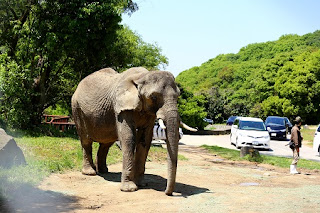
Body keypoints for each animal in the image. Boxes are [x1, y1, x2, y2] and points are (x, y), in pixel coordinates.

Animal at [72, 66, 182, 195]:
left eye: (178, 96)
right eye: (154, 97)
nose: (167, 193)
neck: (142, 76)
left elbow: (145, 140)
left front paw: (142, 184)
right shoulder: (121, 106)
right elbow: (128, 138)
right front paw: (130, 189)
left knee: (106, 143)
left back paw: (103, 171)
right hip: (77, 109)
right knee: (86, 141)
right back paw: (90, 172)